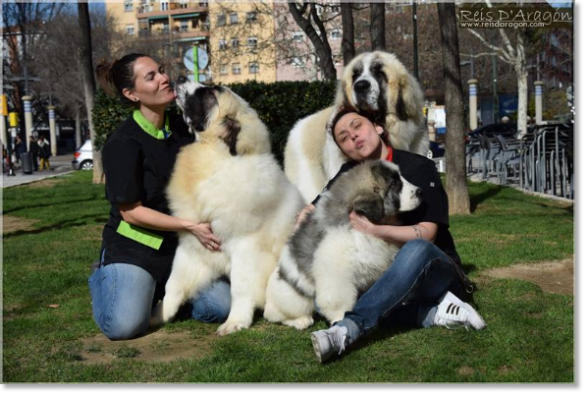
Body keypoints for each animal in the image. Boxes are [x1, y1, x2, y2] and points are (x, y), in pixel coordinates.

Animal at [151, 80, 304, 338]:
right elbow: (173, 284)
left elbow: (240, 289)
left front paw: (235, 322)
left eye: (209, 93)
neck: (215, 155)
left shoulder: (245, 247)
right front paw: (158, 315)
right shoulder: (191, 245)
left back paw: (300, 320)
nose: (179, 78)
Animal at [264, 159, 420, 330]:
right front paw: (340, 318)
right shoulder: (336, 272)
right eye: (394, 183)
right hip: (294, 298)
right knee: (277, 314)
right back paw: (301, 321)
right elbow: (337, 299)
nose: (420, 191)